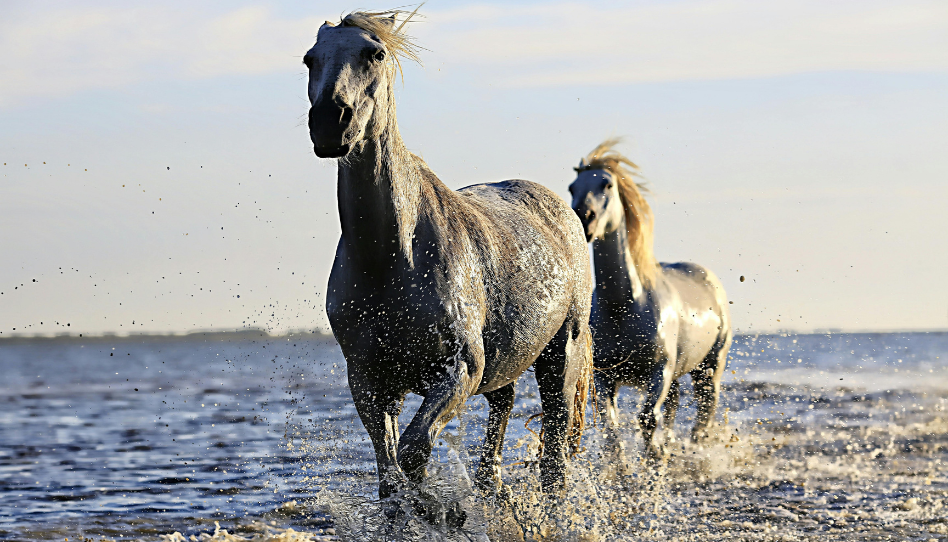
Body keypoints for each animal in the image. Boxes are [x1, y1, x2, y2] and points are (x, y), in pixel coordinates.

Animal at [303, 10, 594, 514]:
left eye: (374, 53)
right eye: (309, 59)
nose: (329, 121)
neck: (391, 256)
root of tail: (562, 212)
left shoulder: (459, 369)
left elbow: (414, 453)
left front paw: (441, 513)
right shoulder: (370, 380)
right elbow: (390, 475)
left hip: (562, 355)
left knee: (554, 459)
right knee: (501, 419)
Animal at [567, 139, 732, 463]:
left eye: (606, 184)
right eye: (572, 187)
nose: (583, 217)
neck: (624, 306)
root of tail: (709, 279)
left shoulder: (660, 372)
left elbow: (647, 420)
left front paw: (654, 458)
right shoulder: (606, 377)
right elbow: (611, 428)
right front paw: (624, 470)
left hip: (709, 367)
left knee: (704, 410)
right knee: (675, 405)